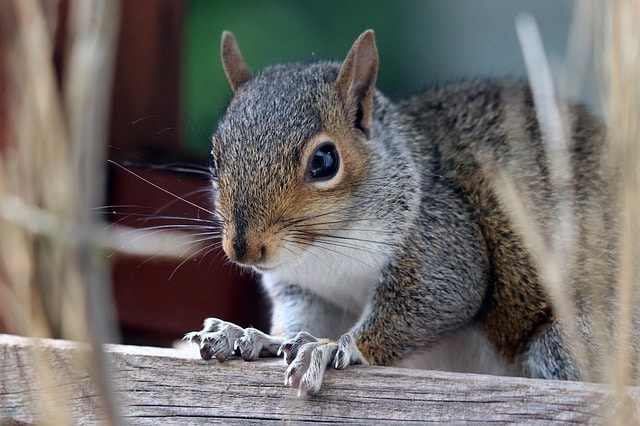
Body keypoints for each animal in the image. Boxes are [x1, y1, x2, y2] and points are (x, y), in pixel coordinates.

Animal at [184, 29, 637, 396]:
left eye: (325, 161)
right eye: (213, 158)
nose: (244, 250)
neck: (325, 251)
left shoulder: (441, 240)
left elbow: (438, 299)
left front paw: (328, 347)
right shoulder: (305, 288)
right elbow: (298, 319)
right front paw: (253, 335)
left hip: (572, 343)